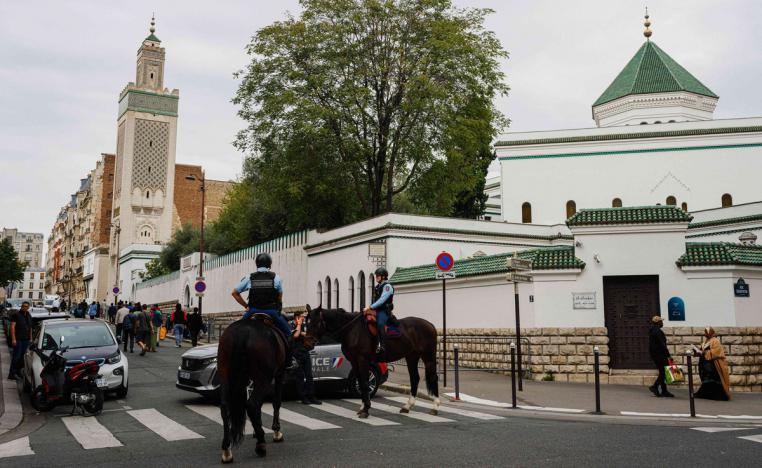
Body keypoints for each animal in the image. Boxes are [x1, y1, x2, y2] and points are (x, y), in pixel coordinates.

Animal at [218, 316, 286, 462]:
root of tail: (242, 333)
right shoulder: (280, 374)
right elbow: (276, 402)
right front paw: (276, 431)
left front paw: (257, 429)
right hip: (264, 378)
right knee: (252, 404)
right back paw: (261, 444)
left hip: (224, 373)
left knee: (225, 407)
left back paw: (226, 450)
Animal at [304, 306, 440, 418]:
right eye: (307, 322)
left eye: (316, 322)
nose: (307, 343)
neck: (352, 329)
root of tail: (430, 324)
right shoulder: (354, 361)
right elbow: (360, 381)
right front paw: (363, 406)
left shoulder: (362, 359)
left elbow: (364, 383)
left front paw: (366, 409)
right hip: (411, 357)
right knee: (414, 378)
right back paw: (407, 406)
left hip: (428, 357)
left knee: (433, 377)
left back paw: (435, 406)